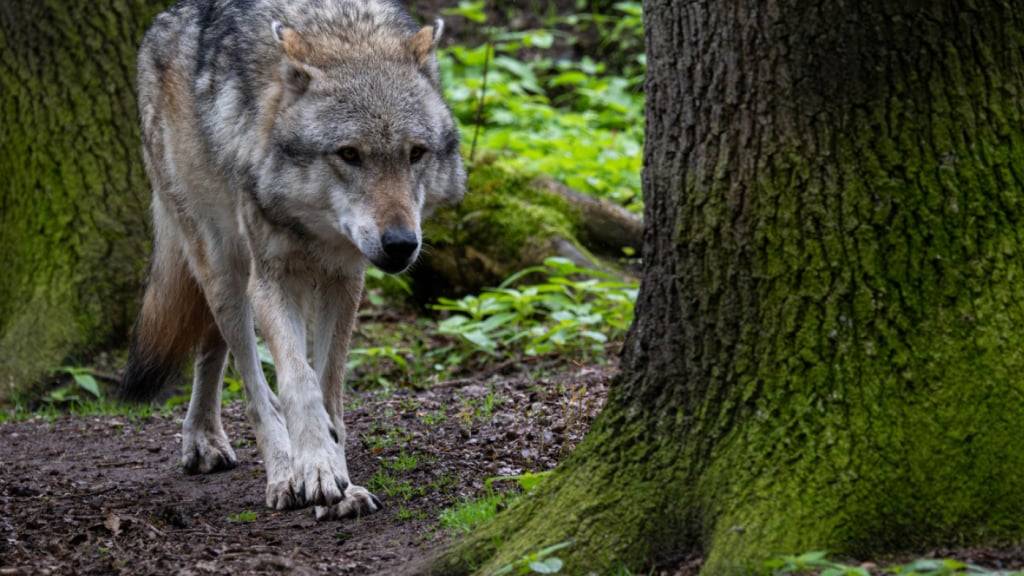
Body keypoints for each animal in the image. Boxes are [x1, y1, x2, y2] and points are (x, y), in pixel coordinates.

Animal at [122, 0, 465, 519]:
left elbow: (329, 389)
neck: (343, 33)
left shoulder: (344, 280)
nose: (402, 243)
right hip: (223, 267)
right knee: (250, 379)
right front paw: (315, 470)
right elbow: (297, 382)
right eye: (349, 154)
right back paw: (279, 473)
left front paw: (341, 480)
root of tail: (164, 19)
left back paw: (207, 438)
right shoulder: (273, 279)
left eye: (416, 153)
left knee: (213, 346)